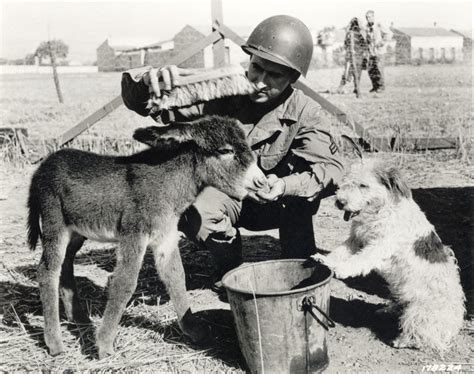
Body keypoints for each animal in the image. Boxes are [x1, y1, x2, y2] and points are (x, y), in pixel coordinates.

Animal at [27, 114, 262, 356]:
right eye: (225, 151)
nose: (261, 182)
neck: (166, 184)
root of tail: (42, 167)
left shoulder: (166, 236)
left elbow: (176, 277)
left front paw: (193, 330)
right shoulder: (133, 235)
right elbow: (124, 283)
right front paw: (104, 345)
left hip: (76, 232)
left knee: (65, 264)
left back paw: (79, 318)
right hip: (54, 222)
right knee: (47, 271)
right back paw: (54, 343)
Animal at [312, 159, 464, 352]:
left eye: (363, 185)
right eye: (347, 181)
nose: (340, 202)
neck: (381, 210)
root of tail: (452, 327)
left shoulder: (379, 246)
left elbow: (359, 260)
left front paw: (339, 268)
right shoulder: (356, 239)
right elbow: (340, 251)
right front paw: (325, 259)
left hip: (419, 313)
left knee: (422, 336)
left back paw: (403, 340)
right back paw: (388, 310)